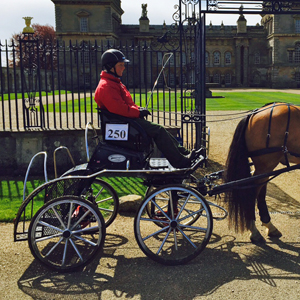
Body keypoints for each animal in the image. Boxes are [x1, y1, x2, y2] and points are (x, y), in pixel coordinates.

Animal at [224, 102, 300, 243]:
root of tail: (255, 113)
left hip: (265, 167)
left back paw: (268, 225)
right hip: (266, 164)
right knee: (253, 192)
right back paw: (253, 229)